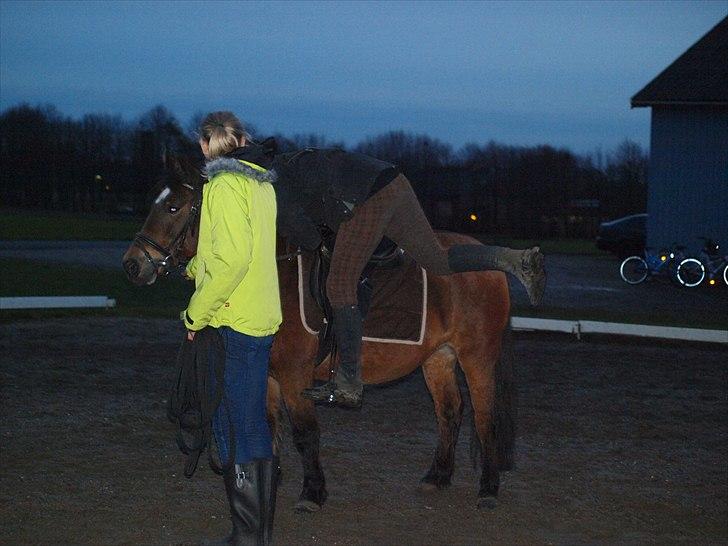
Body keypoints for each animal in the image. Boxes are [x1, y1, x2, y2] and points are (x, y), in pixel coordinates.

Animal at [122, 155, 516, 508]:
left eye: (173, 207)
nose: (133, 264)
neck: (272, 273)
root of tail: (487, 264)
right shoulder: (267, 374)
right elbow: (270, 427)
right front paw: (267, 483)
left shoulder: (295, 377)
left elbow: (304, 433)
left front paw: (312, 492)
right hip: (437, 358)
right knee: (450, 412)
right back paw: (437, 476)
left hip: (476, 357)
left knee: (485, 417)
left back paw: (488, 489)